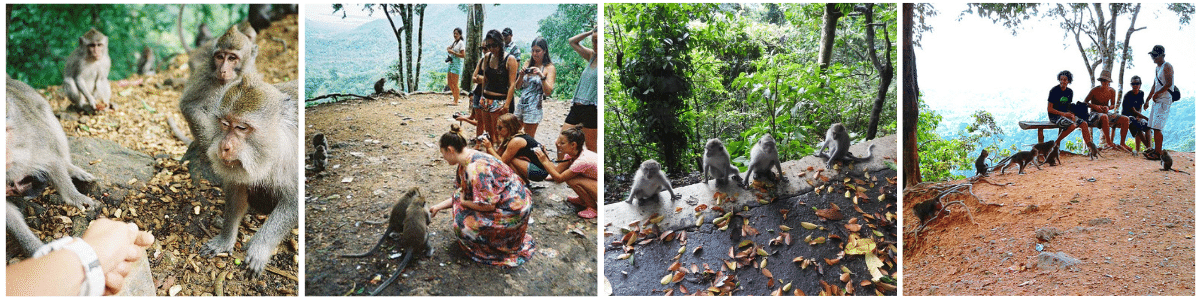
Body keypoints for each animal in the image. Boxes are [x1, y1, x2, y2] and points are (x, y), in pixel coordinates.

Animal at [6, 75, 99, 255]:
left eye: (6, 131)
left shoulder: (33, 140)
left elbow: (51, 159)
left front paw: (75, 197)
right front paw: (37, 250)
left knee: (49, 121)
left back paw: (70, 168)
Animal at [196, 70, 297, 276]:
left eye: (241, 127)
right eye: (224, 123)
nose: (224, 147)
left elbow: (293, 201)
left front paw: (259, 248)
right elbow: (237, 193)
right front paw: (225, 239)